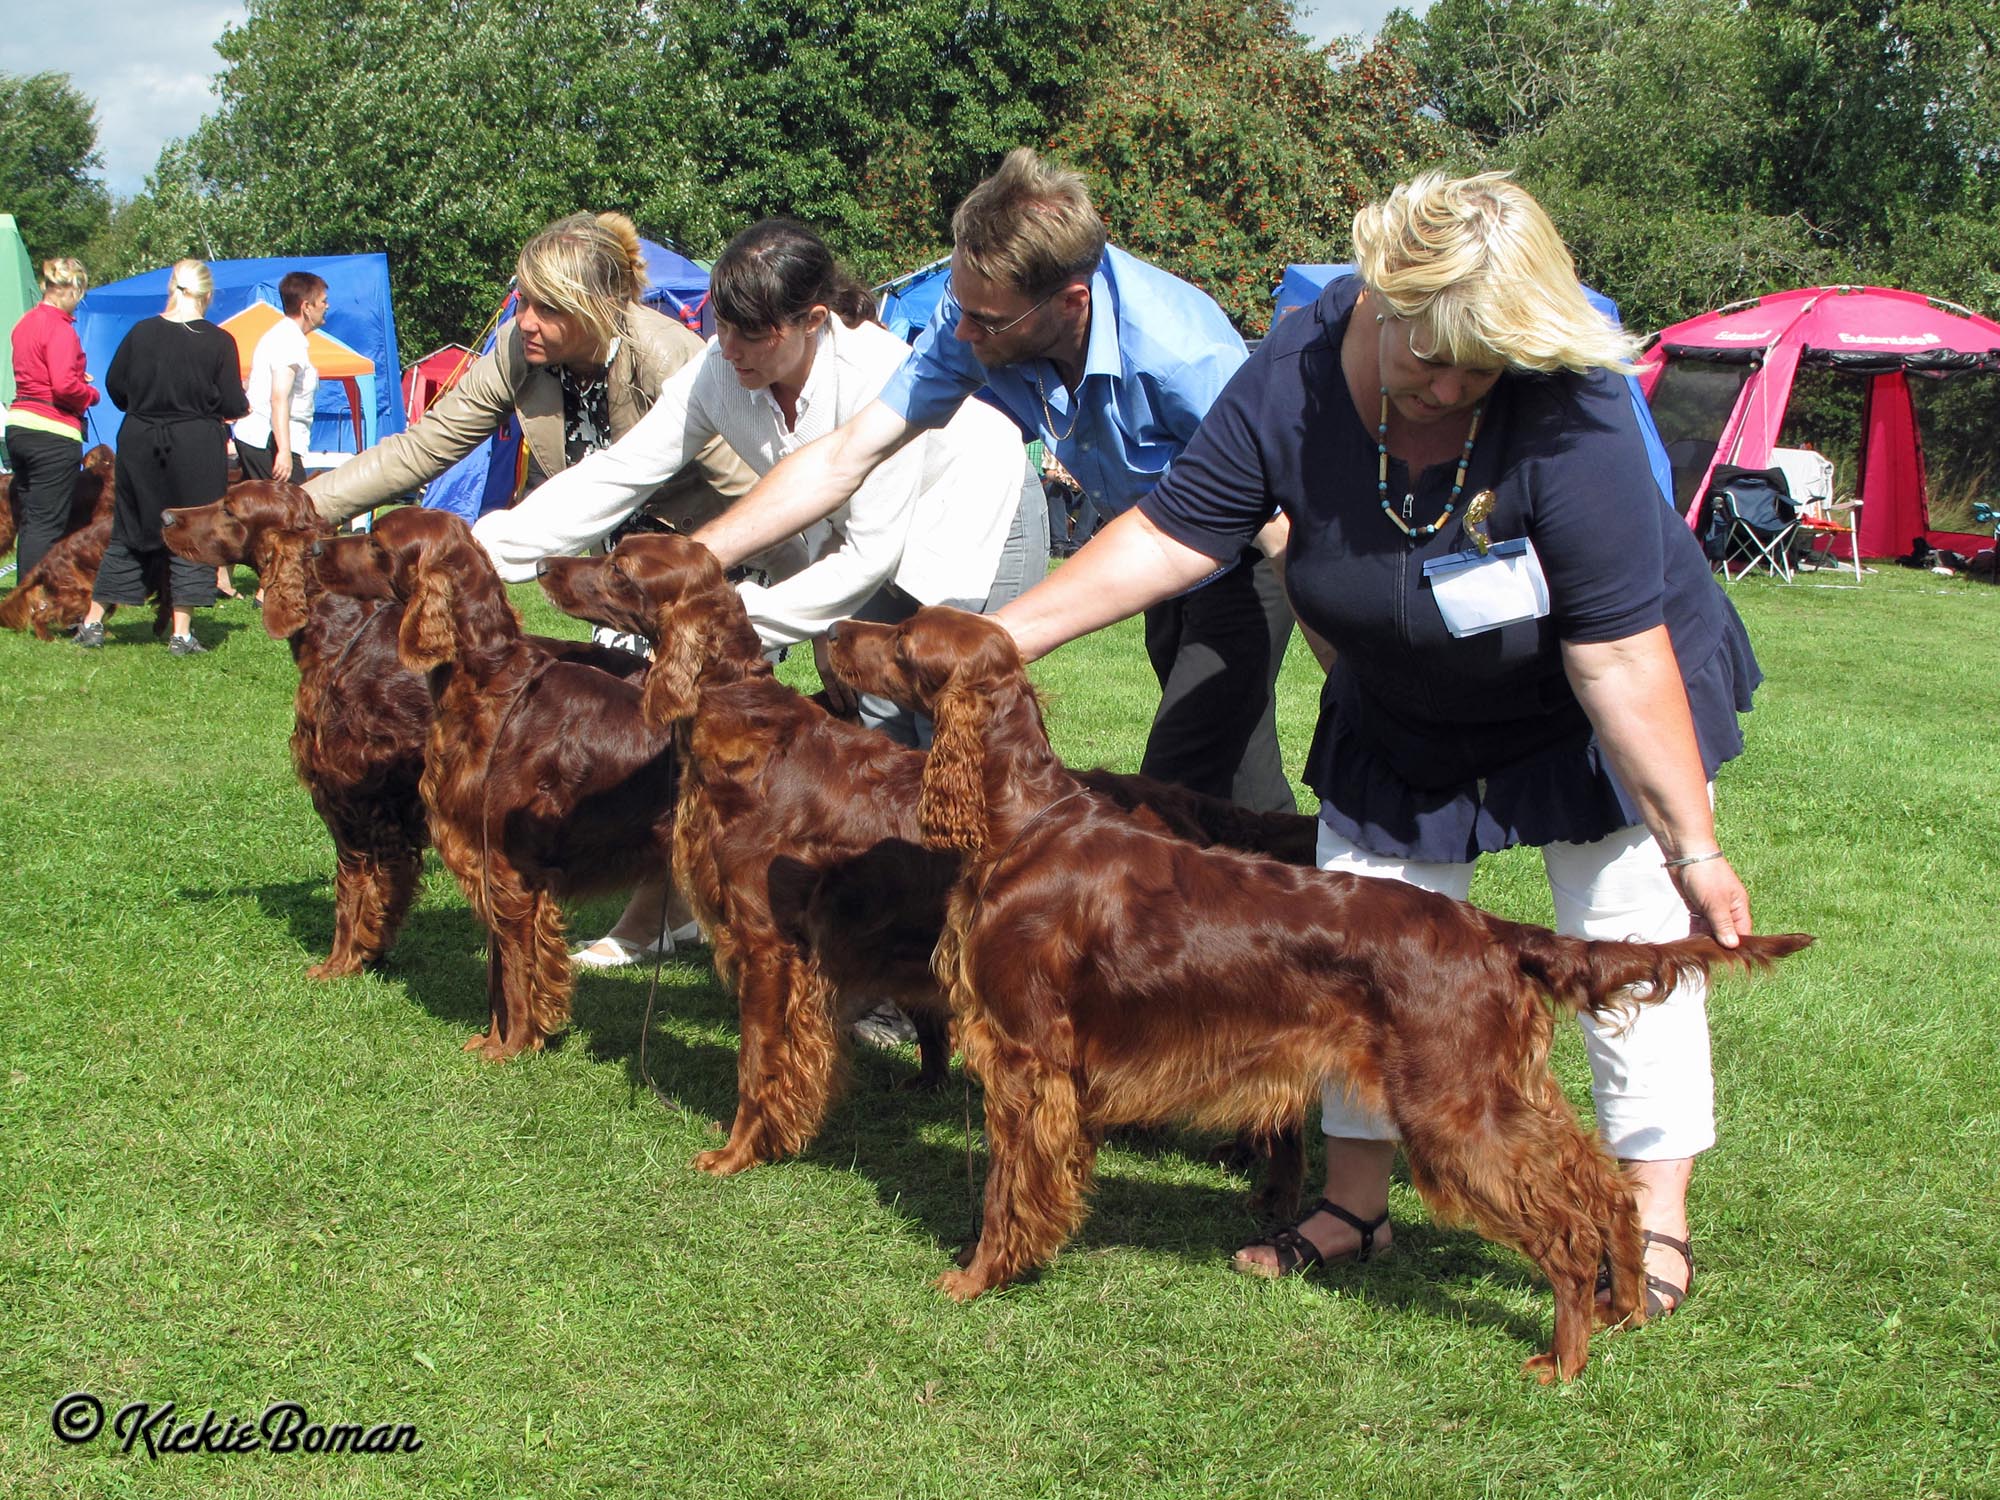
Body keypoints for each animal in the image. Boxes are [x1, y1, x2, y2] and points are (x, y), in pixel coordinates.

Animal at [312, 512, 672, 1064]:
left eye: (376, 543)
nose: (314, 549)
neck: (490, 687)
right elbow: (503, 968)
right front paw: (499, 1038)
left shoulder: (508, 871)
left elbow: (516, 971)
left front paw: (511, 1048)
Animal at [828, 608, 1816, 1384]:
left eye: (904, 641)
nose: (835, 631)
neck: (1023, 823)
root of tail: (1494, 934)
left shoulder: (1028, 1058)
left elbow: (1006, 1188)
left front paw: (979, 1275)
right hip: (1496, 1088)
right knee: (1603, 1189)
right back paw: (1624, 1307)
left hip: (1453, 1109)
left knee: (1567, 1229)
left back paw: (1562, 1359)